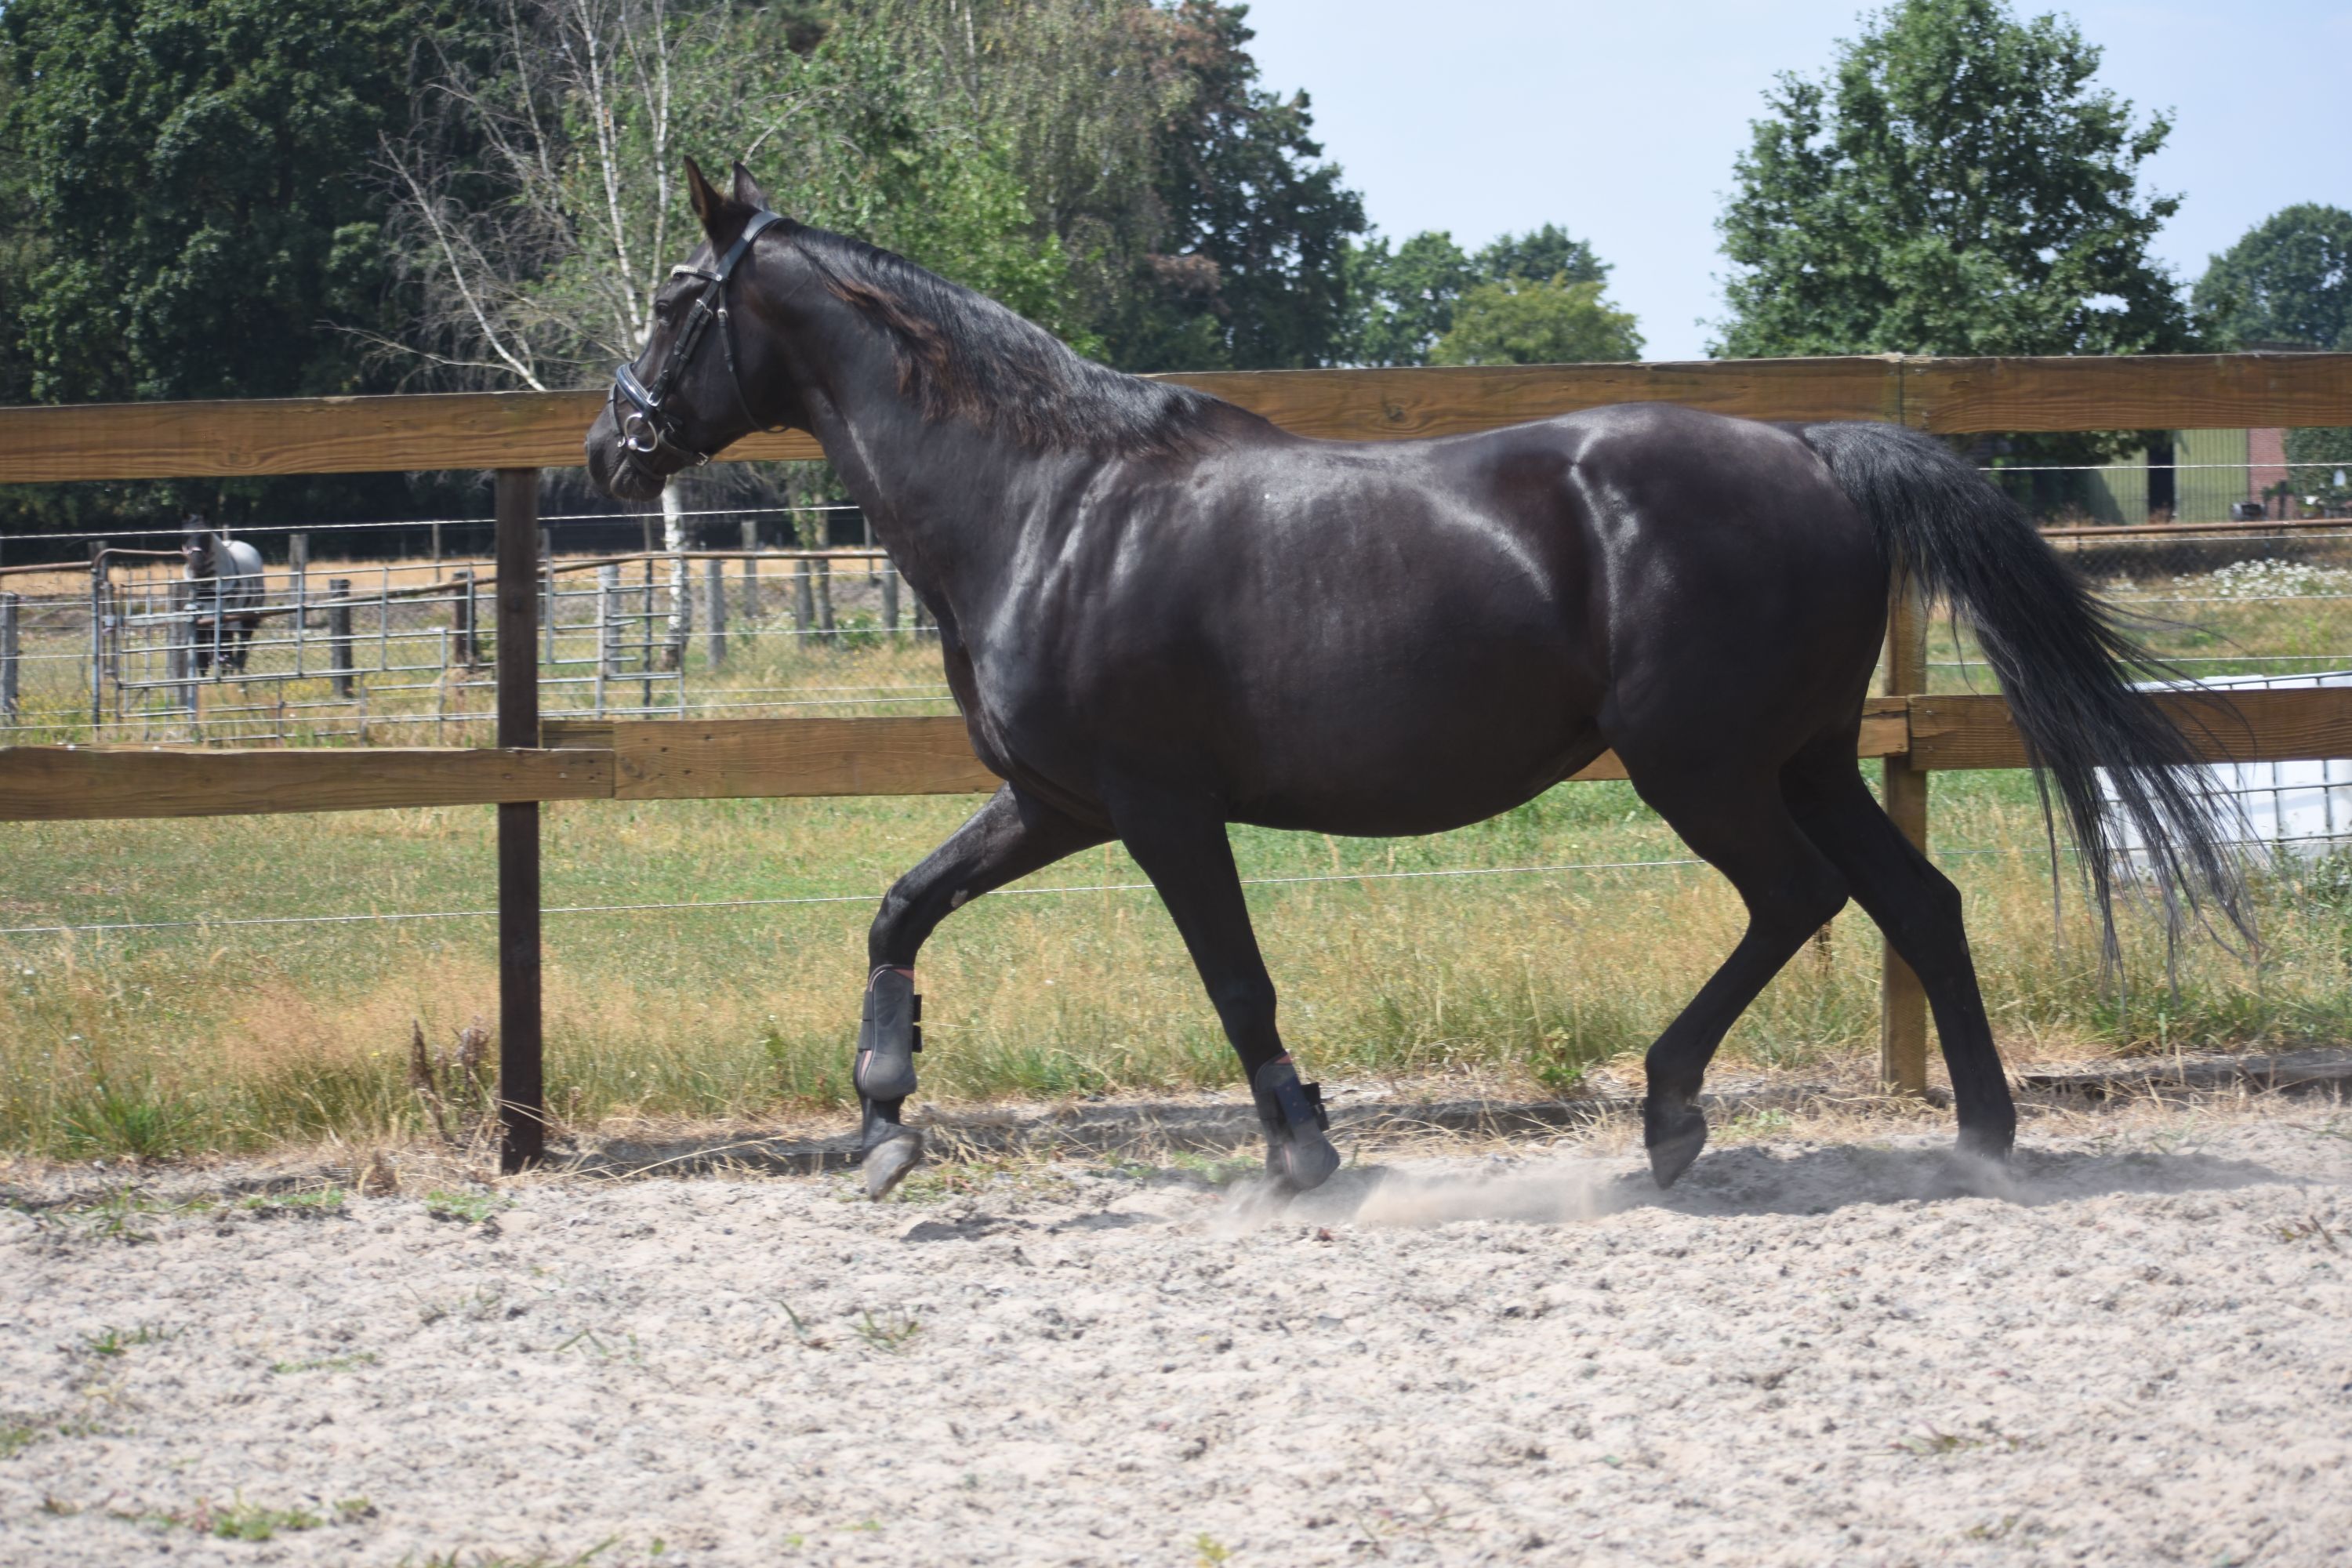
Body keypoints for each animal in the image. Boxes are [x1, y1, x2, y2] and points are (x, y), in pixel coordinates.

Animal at [180, 515, 263, 677]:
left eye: (207, 536)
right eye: (184, 535)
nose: (197, 563)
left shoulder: (224, 622)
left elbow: (225, 650)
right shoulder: (200, 624)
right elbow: (202, 657)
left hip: (247, 619)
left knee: (241, 648)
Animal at [586, 159, 2248, 1200]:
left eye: (673, 300)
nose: (610, 450)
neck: (1051, 506)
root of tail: (1820, 454)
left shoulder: (1157, 807)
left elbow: (1236, 978)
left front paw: (1303, 1151)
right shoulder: (1055, 803)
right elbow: (900, 906)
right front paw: (879, 1119)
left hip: (1702, 767)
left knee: (1800, 899)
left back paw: (1670, 1113)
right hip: (1807, 756)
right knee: (1918, 902)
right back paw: (1980, 1138)